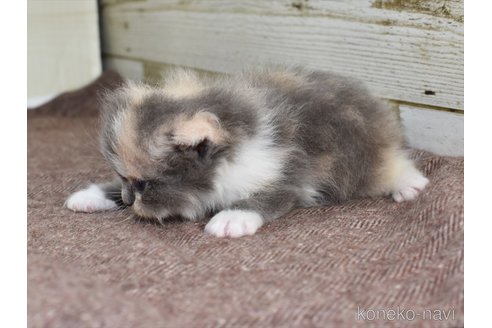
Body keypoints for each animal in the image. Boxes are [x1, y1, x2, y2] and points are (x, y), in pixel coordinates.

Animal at [65, 66, 426, 237]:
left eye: (145, 185)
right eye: (123, 178)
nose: (128, 201)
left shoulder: (287, 175)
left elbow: (263, 199)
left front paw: (232, 217)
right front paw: (93, 195)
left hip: (363, 158)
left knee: (388, 164)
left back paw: (408, 184)